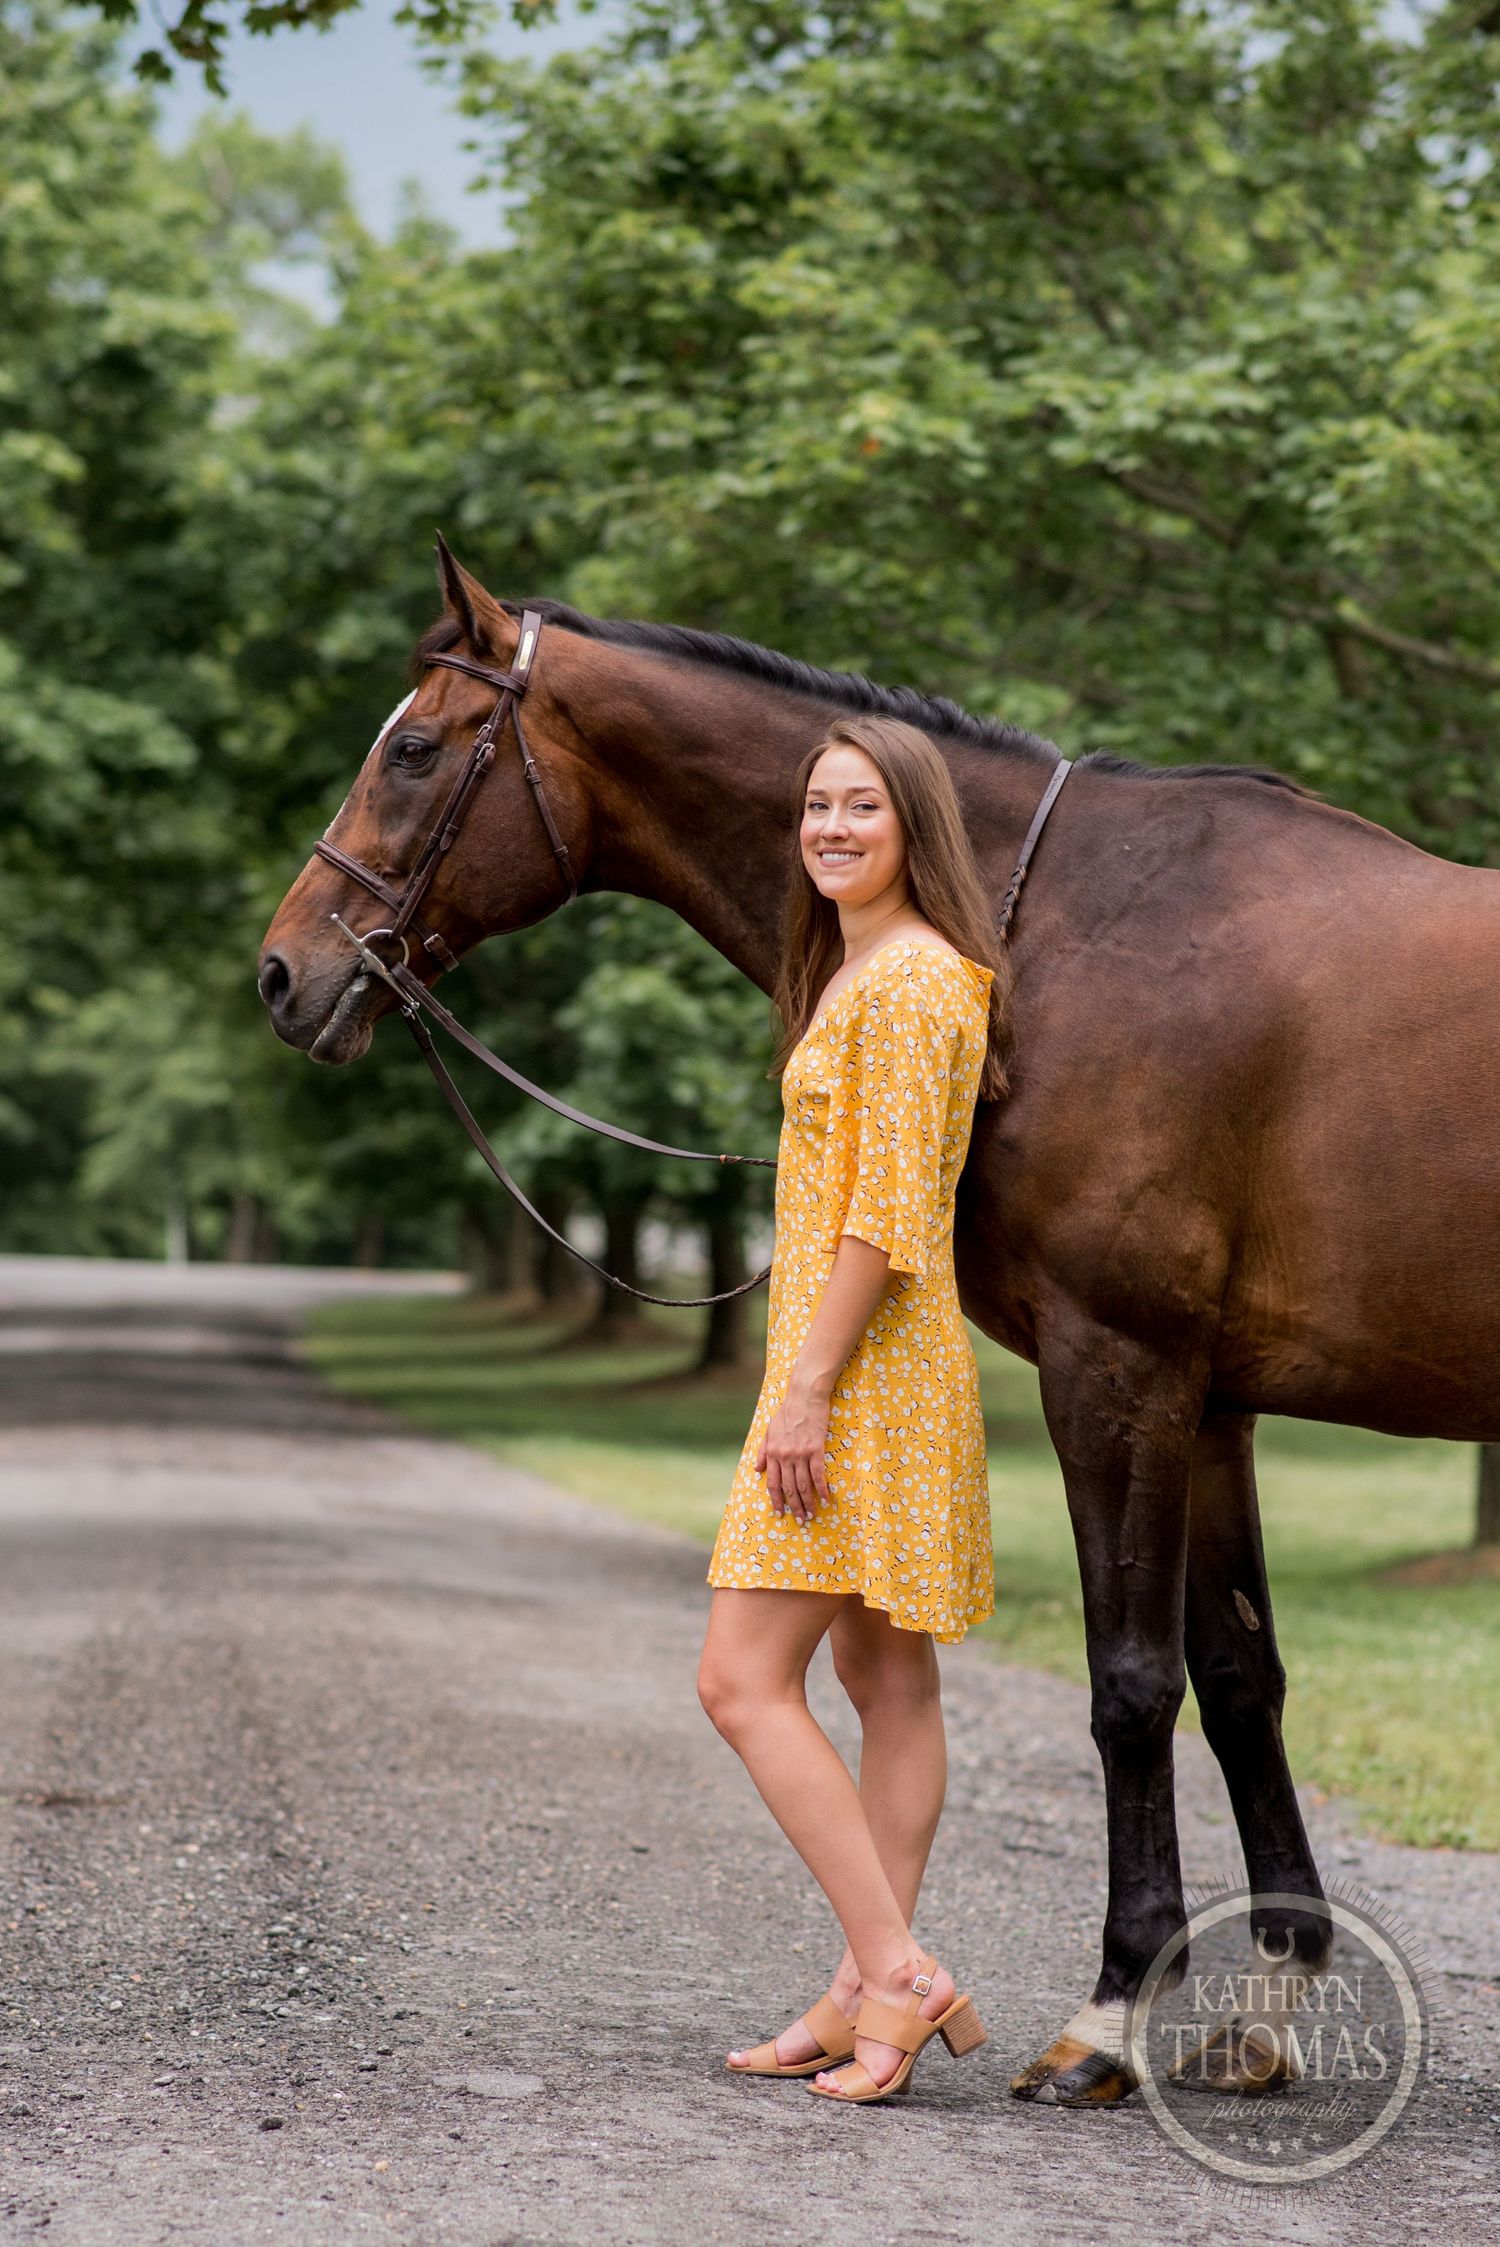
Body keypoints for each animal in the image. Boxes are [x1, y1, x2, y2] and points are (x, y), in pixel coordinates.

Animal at [259, 547, 1500, 2106]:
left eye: (417, 748)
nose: (282, 973)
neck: (1053, 925)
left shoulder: (1121, 1369)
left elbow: (1131, 1683)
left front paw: (1109, 2015)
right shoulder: (1213, 1402)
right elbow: (1237, 1680)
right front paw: (1271, 2002)